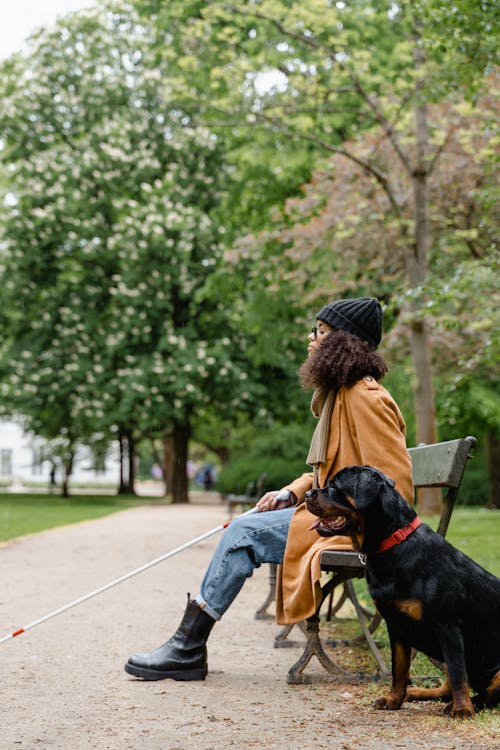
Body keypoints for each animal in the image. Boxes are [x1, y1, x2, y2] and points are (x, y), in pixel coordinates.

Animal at [304, 468, 500, 720]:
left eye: (335, 486)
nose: (308, 493)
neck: (393, 545)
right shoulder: (396, 625)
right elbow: (398, 669)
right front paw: (394, 699)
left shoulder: (447, 626)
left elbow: (458, 673)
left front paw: (462, 709)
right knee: (447, 686)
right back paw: (420, 693)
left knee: (485, 692)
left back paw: (464, 703)